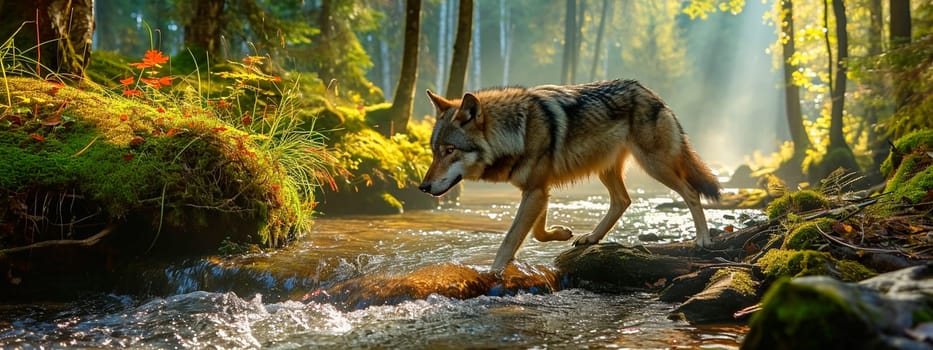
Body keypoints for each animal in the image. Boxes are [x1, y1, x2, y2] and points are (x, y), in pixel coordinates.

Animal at [416, 80, 720, 274]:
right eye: (434, 152)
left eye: (450, 151)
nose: (423, 187)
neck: (517, 131)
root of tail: (654, 94)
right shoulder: (538, 190)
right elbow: (537, 233)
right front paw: (561, 232)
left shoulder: (536, 191)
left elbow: (511, 239)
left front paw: (492, 273)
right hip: (606, 169)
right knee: (622, 201)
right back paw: (592, 238)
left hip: (655, 166)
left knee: (691, 192)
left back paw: (703, 239)